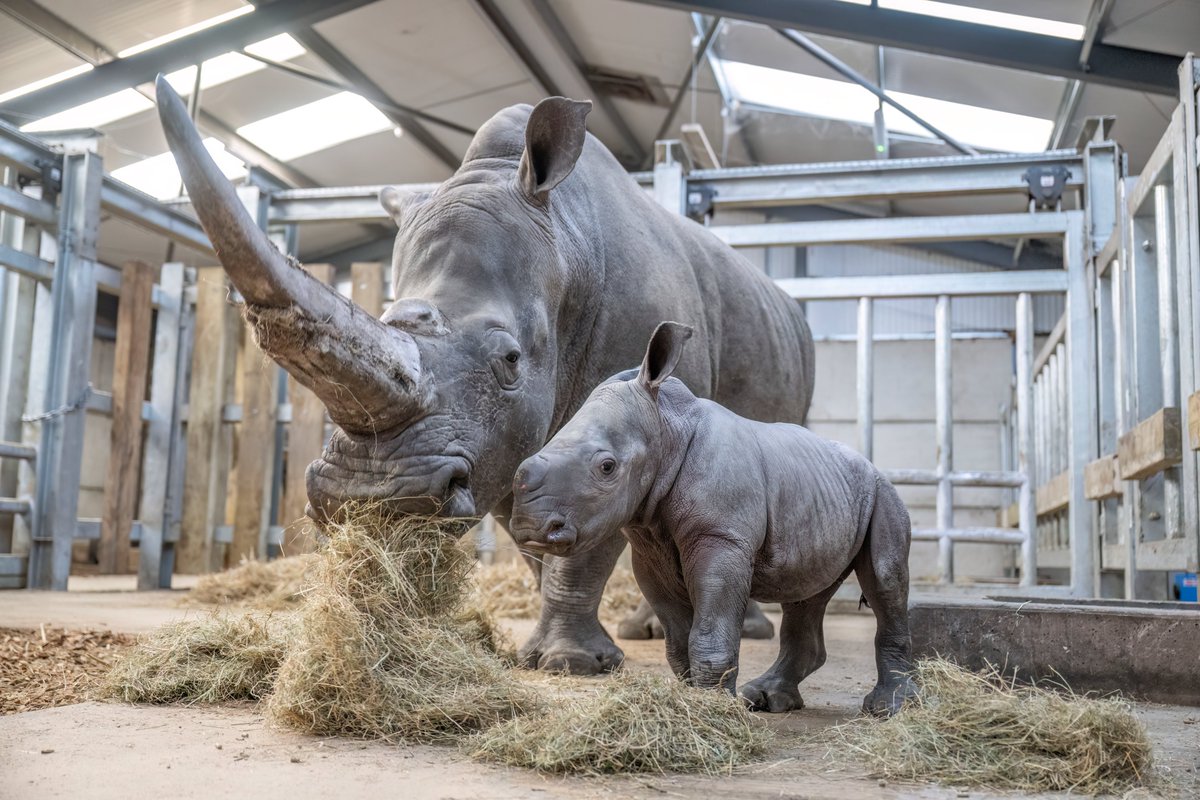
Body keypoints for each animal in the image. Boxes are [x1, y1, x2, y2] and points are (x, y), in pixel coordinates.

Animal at [155, 77, 815, 675]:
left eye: (510, 361)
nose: (369, 496)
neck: (567, 244)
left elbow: (585, 534)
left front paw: (572, 665)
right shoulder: (505, 442)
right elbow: (536, 529)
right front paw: (547, 654)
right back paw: (646, 630)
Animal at [509, 322, 916, 715]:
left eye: (607, 467)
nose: (531, 528)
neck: (666, 431)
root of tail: (868, 463)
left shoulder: (722, 537)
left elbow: (709, 631)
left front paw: (713, 707)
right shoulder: (650, 547)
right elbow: (678, 639)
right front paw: (691, 701)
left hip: (882, 494)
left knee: (884, 579)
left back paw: (888, 708)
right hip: (824, 492)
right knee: (806, 594)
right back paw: (765, 699)